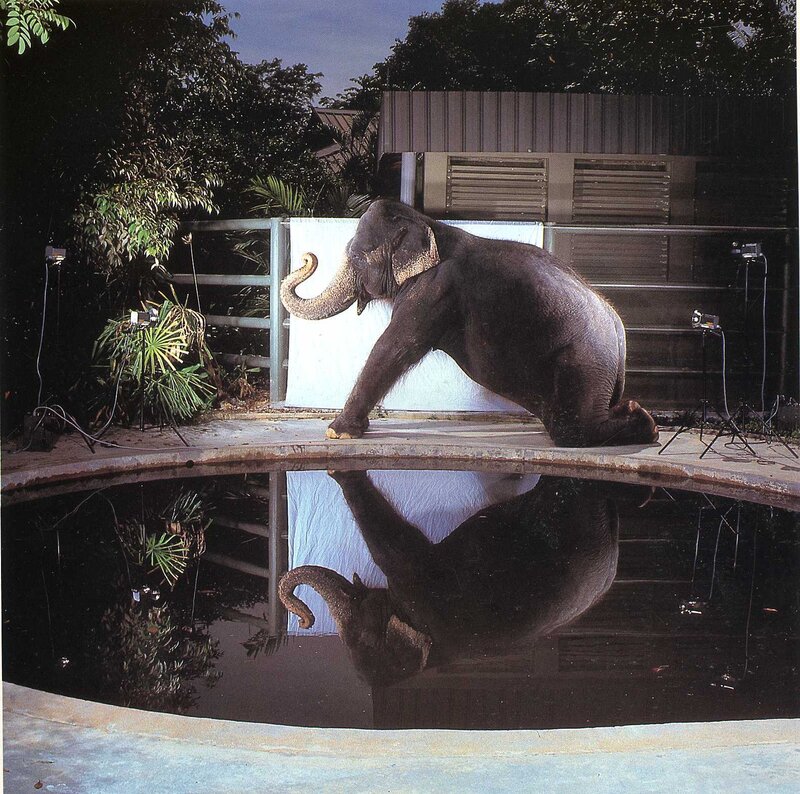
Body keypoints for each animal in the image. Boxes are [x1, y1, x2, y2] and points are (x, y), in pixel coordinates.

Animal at [280, 199, 658, 447]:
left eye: (357, 256)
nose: (307, 257)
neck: (429, 224)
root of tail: (618, 329)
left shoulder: (434, 291)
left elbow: (395, 347)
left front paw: (337, 432)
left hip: (583, 359)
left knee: (573, 428)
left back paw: (644, 420)